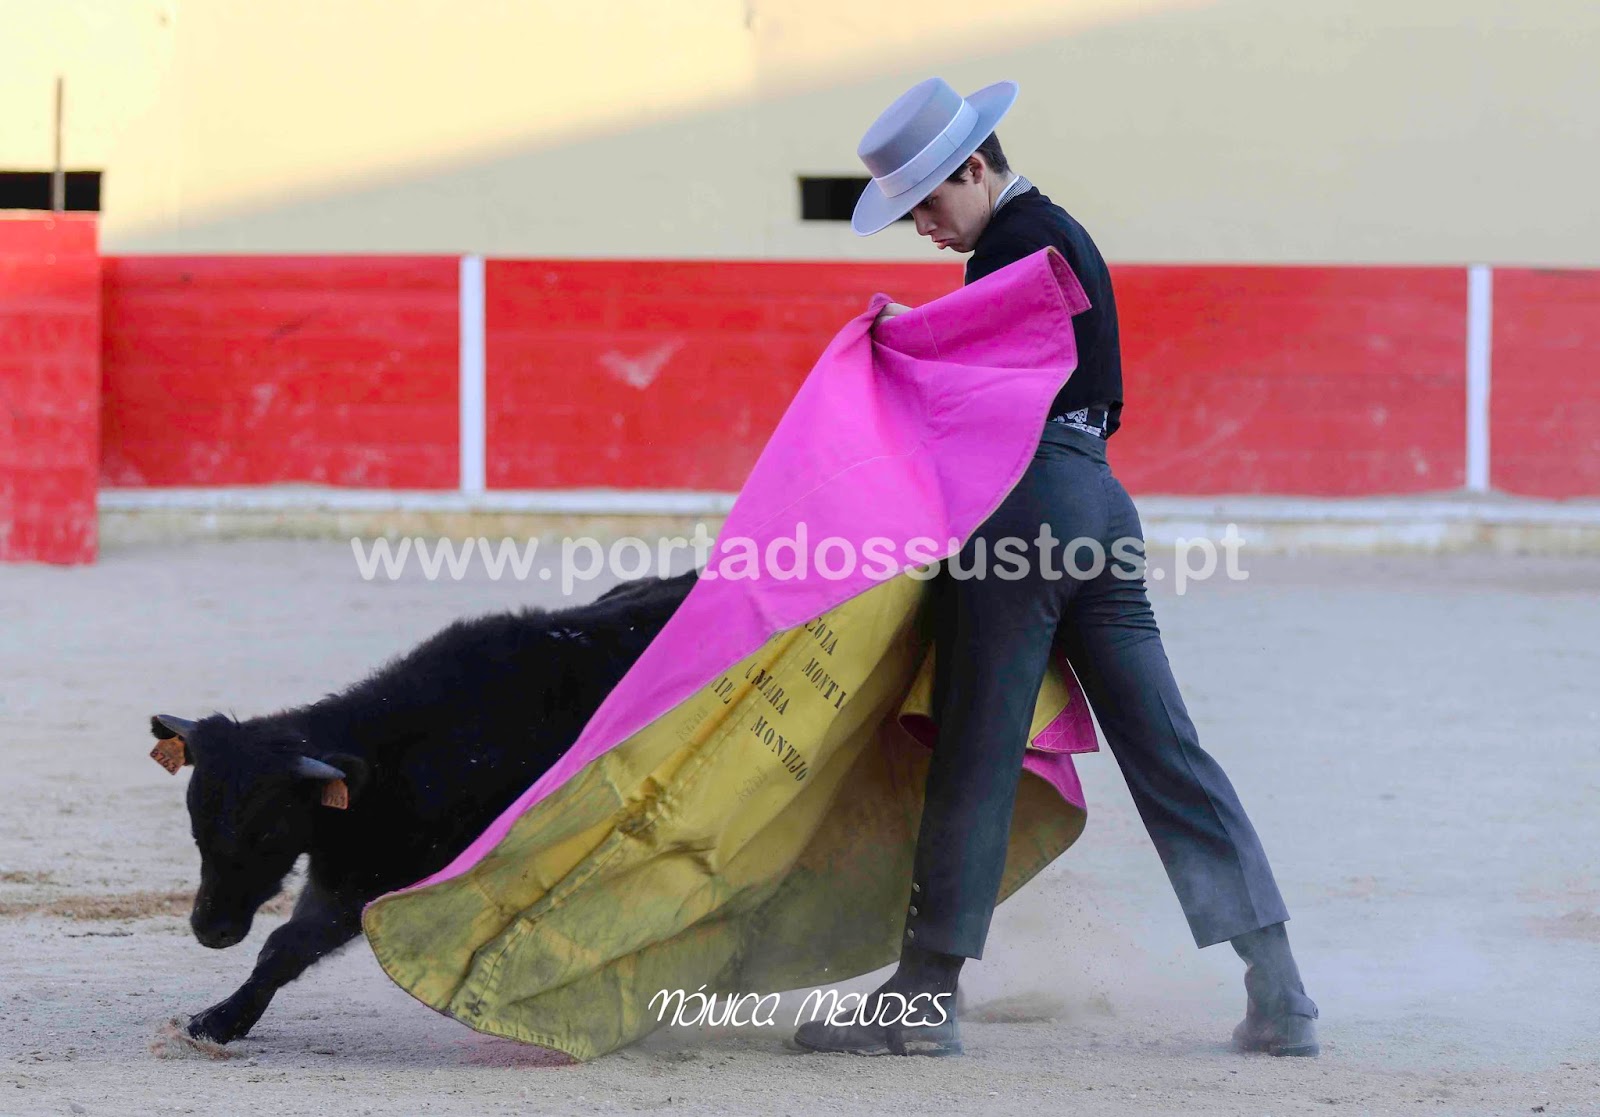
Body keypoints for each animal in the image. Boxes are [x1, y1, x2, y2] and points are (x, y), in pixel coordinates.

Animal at [148, 567, 699, 1044]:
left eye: (266, 833)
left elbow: (287, 946)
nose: (210, 930)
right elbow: (279, 947)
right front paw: (220, 1018)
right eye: (197, 828)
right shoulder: (343, 871)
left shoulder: (370, 880)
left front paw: (220, 1022)